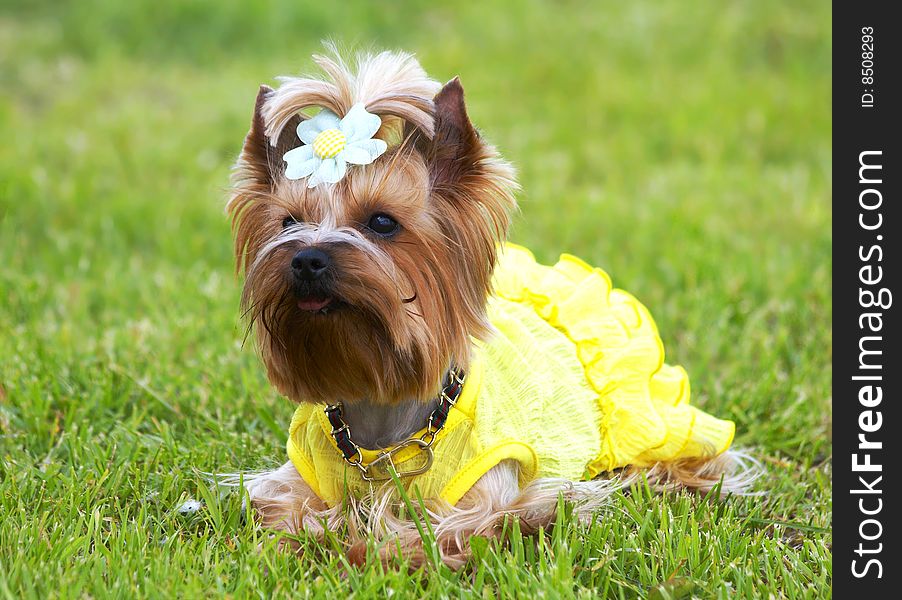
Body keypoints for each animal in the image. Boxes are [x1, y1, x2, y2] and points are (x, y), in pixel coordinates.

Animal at [228, 48, 756, 568]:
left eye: (381, 222)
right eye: (289, 222)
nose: (306, 258)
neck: (384, 413)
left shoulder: (502, 493)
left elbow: (458, 530)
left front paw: (370, 551)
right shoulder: (291, 481)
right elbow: (285, 511)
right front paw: (317, 539)